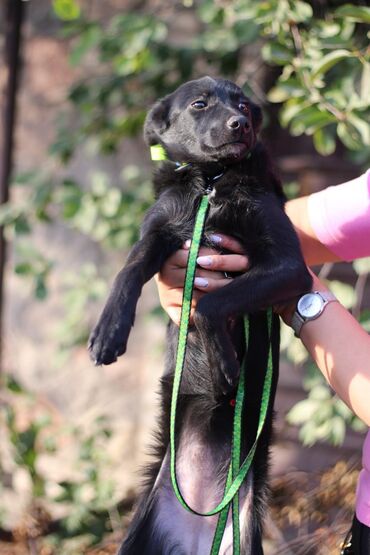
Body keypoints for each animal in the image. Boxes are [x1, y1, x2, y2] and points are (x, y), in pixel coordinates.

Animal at [89, 76, 312, 552]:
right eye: (199, 104)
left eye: (244, 106)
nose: (240, 124)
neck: (211, 183)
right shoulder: (159, 232)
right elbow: (129, 268)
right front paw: (109, 331)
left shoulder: (288, 266)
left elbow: (210, 303)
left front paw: (224, 364)